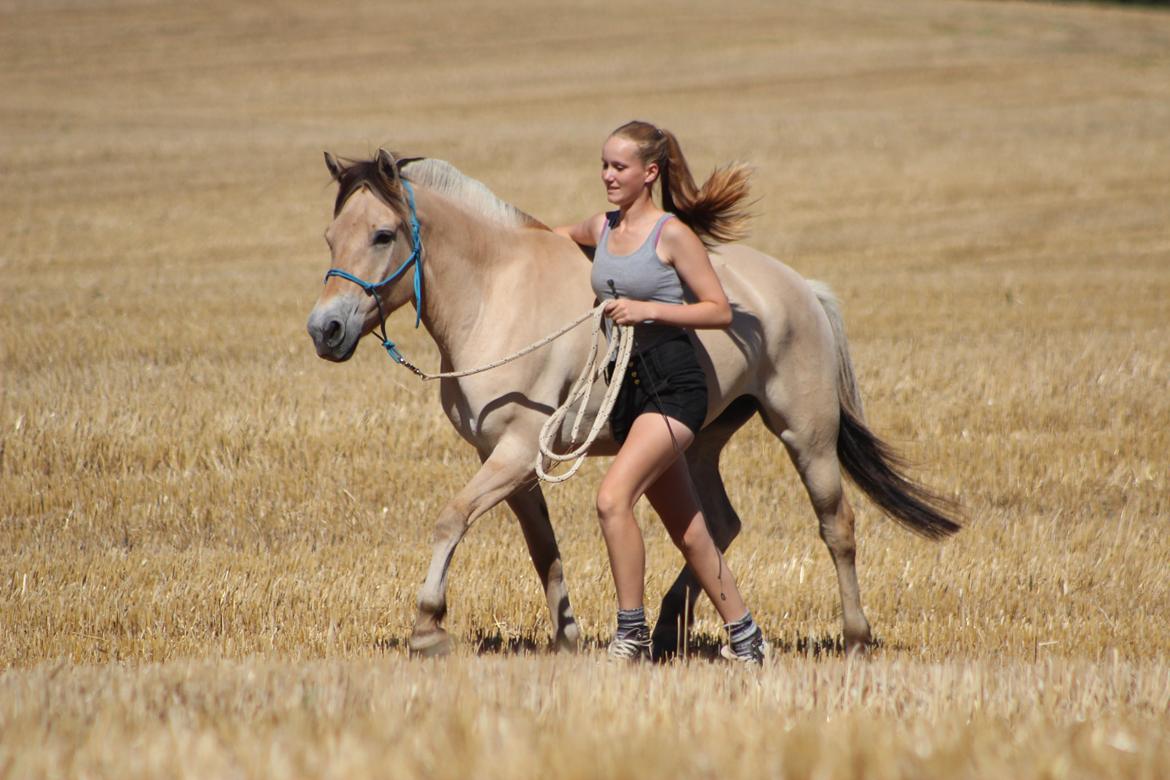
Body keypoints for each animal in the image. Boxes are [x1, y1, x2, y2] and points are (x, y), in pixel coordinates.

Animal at [311, 147, 959, 659]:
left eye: (382, 235)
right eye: (330, 237)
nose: (326, 330)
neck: (496, 294)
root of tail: (802, 287)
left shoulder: (516, 451)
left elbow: (451, 518)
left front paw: (427, 628)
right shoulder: (510, 460)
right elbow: (542, 549)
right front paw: (567, 638)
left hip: (806, 434)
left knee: (836, 524)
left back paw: (855, 637)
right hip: (695, 443)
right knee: (716, 523)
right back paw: (671, 626)